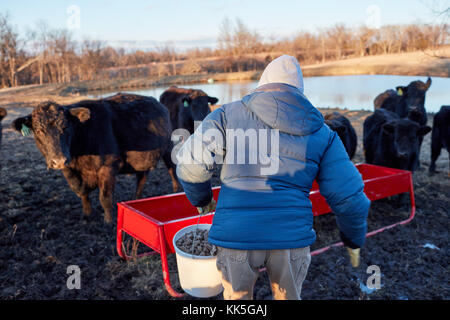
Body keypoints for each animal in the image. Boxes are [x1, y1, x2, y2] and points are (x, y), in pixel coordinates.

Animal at [11, 92, 179, 222]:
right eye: (39, 131)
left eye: (65, 127)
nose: (58, 160)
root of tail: (158, 102)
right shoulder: (70, 170)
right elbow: (81, 190)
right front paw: (87, 215)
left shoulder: (108, 166)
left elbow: (105, 197)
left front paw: (108, 221)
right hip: (143, 160)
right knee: (142, 177)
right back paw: (136, 198)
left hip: (168, 148)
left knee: (172, 169)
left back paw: (176, 190)